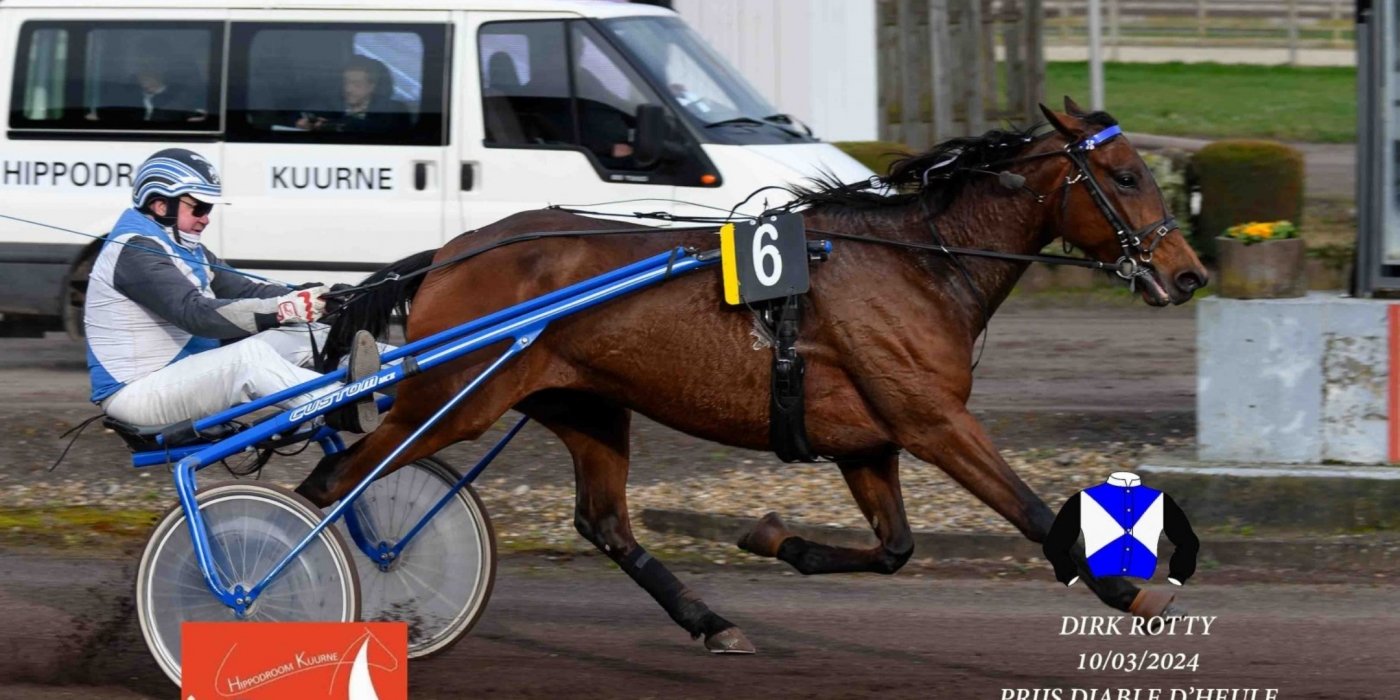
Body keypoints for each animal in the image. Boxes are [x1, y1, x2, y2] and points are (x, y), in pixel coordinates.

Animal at [301, 101, 1209, 652]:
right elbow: (1029, 512)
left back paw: (710, 621)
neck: (917, 264)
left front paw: (774, 537)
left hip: (584, 405)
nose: (1189, 273)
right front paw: (1131, 594)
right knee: (334, 483)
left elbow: (896, 549)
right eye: (1126, 176)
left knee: (605, 522)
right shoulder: (933, 422)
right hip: (451, 399)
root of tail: (451, 253)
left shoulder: (868, 442)